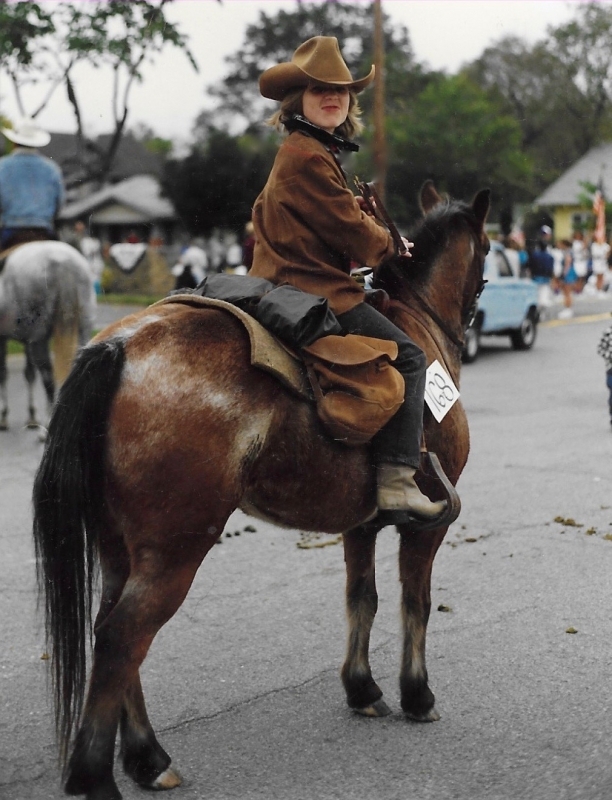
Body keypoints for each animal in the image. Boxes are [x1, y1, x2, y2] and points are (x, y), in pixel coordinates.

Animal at [0, 241, 95, 432]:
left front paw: (4, 416)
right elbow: (28, 374)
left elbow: (3, 373)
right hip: (83, 330)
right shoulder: (25, 340)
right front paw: (31, 416)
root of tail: (64, 264)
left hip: (39, 337)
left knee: (47, 376)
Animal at [32, 183, 492, 800]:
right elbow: (413, 603)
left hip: (118, 546)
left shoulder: (361, 525)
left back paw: (147, 758)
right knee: (123, 638)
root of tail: (118, 347)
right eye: (487, 253)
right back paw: (97, 776)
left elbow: (362, 598)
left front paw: (362, 688)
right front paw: (416, 694)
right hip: (176, 551)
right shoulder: (428, 526)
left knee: (111, 632)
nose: (476, 311)